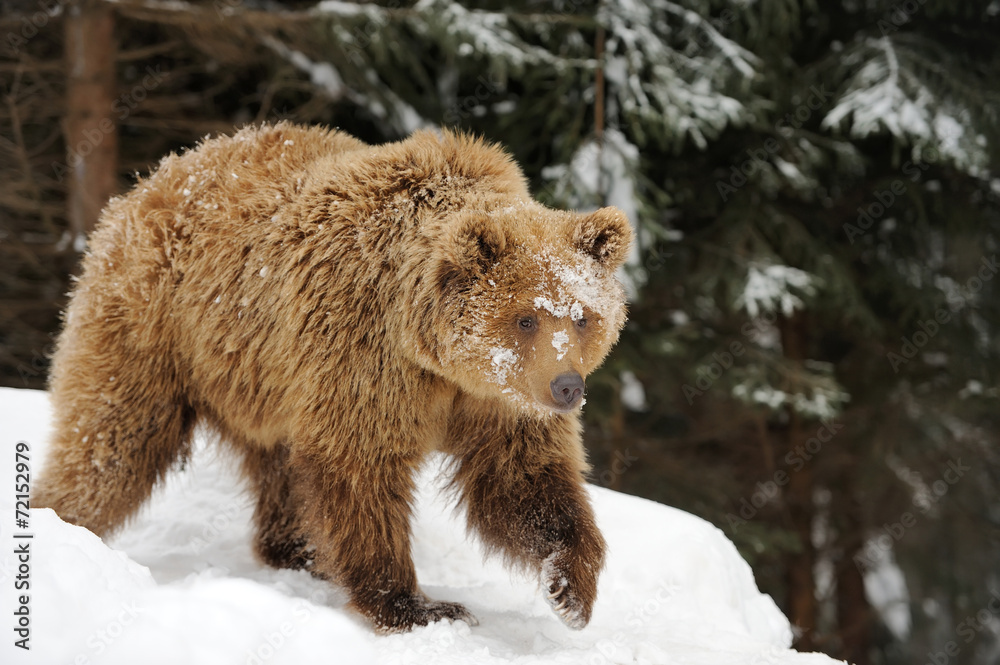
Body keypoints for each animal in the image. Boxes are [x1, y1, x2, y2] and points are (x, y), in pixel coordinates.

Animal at [34, 122, 633, 632]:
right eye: (526, 317)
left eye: (583, 315)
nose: (566, 387)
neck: (434, 355)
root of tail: (146, 184)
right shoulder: (363, 351)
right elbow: (360, 466)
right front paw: (416, 605)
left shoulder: (497, 401)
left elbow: (522, 480)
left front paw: (569, 588)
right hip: (154, 329)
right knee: (111, 444)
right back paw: (61, 522)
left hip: (259, 377)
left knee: (276, 465)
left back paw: (296, 550)